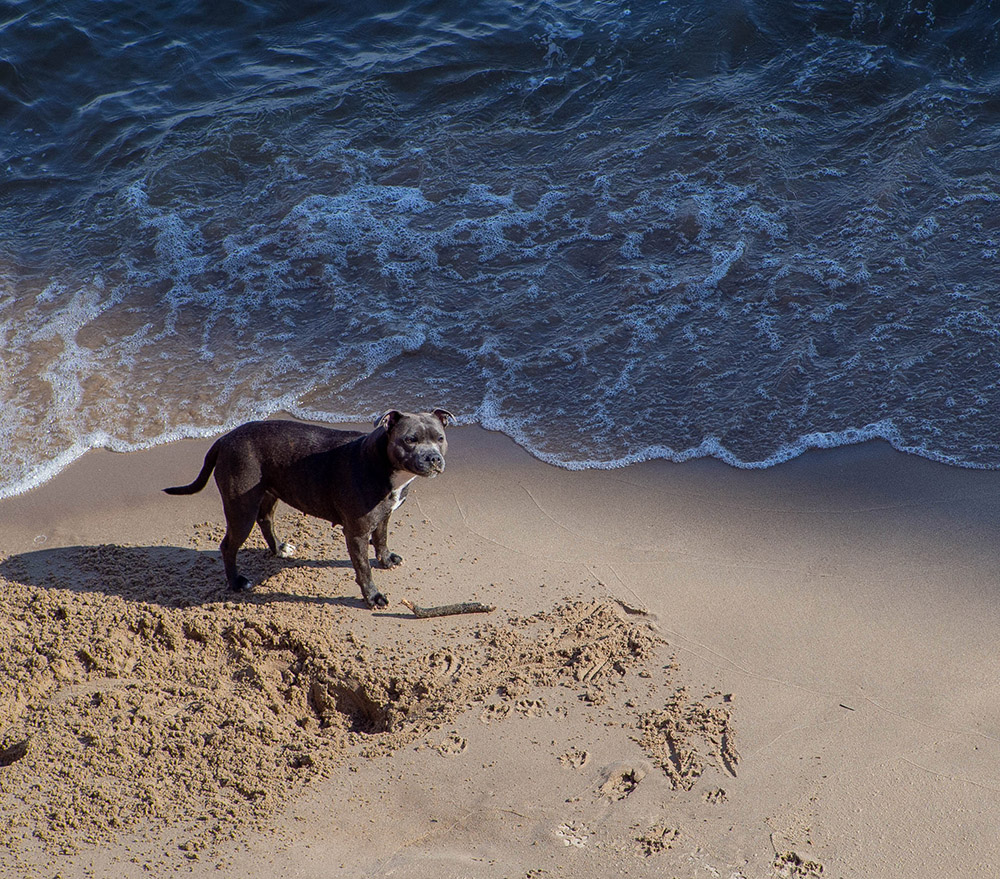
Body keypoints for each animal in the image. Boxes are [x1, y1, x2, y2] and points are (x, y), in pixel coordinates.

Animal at [164, 410, 454, 608]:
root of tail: (225, 439)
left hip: (268, 492)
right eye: (410, 439)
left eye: (440, 438)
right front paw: (373, 596)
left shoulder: (384, 515)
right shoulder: (356, 532)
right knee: (228, 546)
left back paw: (279, 548)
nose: (433, 458)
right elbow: (363, 568)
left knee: (265, 519)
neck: (383, 463)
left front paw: (386, 559)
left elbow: (381, 538)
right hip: (241, 509)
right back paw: (236, 582)